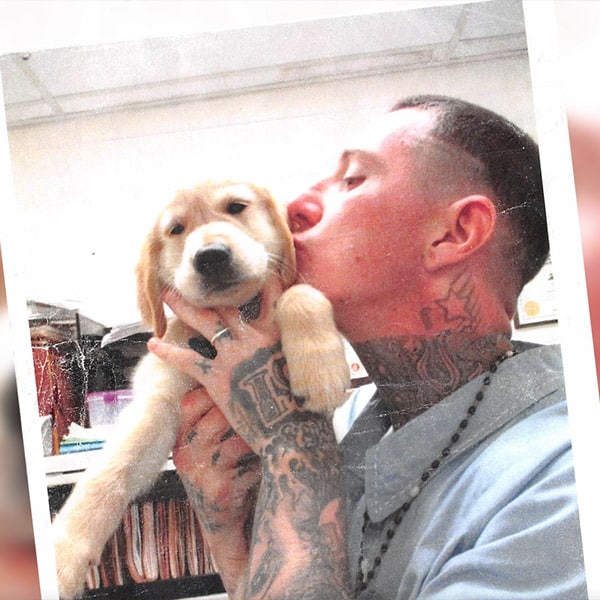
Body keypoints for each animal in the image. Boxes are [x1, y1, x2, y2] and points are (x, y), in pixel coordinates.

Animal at [54, 180, 352, 596]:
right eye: (177, 229)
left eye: (237, 207)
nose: (210, 256)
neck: (236, 316)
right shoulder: (160, 399)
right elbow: (109, 471)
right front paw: (61, 557)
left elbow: (301, 292)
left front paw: (319, 372)